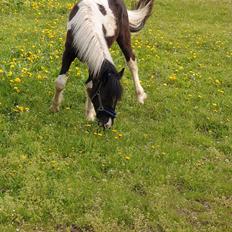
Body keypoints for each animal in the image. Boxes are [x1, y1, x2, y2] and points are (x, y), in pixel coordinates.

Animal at [50, 0, 154, 128]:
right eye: (104, 97)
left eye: (117, 99)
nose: (107, 124)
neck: (86, 24)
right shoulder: (69, 53)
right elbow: (60, 82)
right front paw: (54, 107)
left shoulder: (94, 62)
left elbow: (90, 86)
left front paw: (89, 115)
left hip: (124, 36)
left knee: (132, 63)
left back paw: (140, 96)